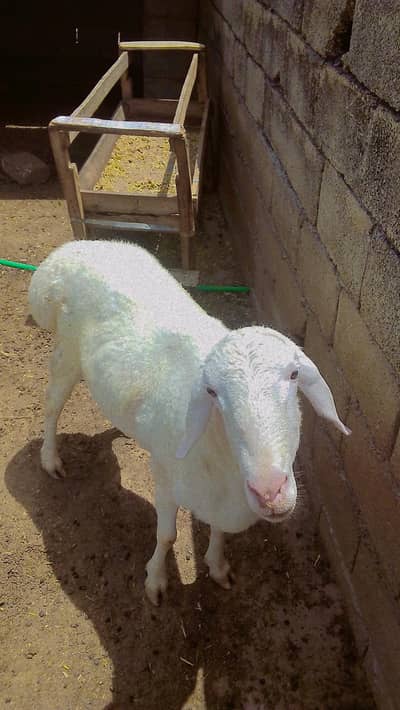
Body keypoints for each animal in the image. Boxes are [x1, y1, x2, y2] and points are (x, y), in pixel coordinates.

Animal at [28, 239, 350, 605]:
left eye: (294, 374)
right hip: (66, 352)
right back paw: (50, 459)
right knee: (52, 405)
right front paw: (155, 580)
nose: (270, 491)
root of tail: (69, 252)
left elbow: (218, 531)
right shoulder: (165, 479)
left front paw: (217, 565)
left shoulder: (218, 499)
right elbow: (167, 536)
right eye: (212, 391)